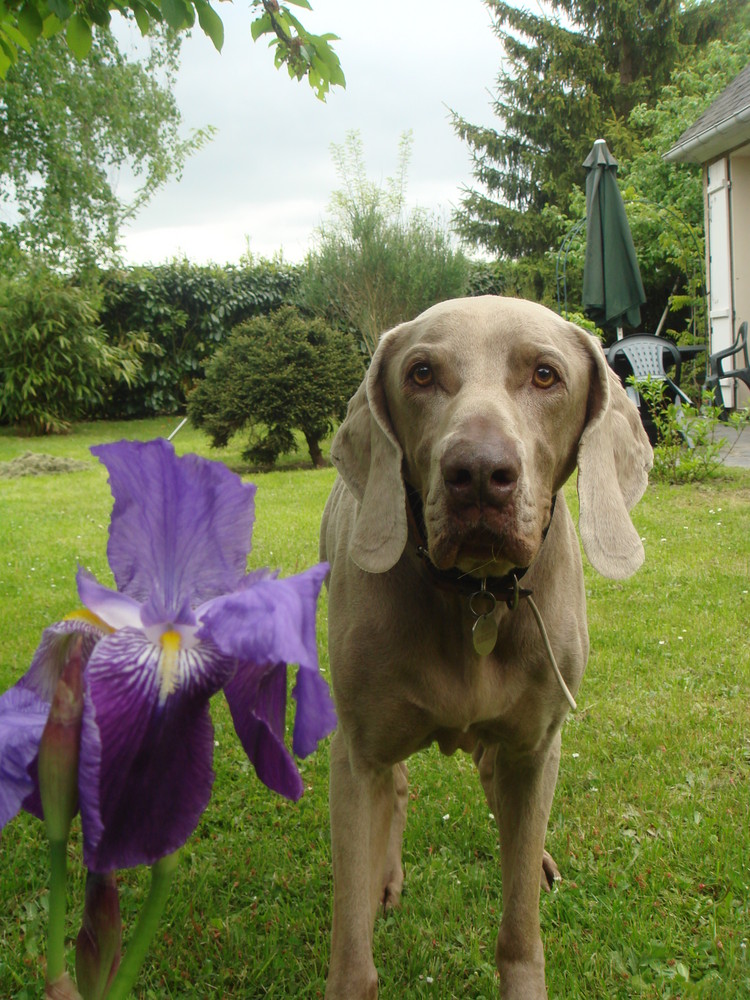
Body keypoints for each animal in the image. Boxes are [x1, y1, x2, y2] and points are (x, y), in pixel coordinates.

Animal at [320, 296, 656, 1000]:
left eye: (546, 375)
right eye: (420, 373)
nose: (477, 474)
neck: (475, 591)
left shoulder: (536, 744)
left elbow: (520, 923)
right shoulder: (357, 750)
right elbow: (352, 945)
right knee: (397, 787)